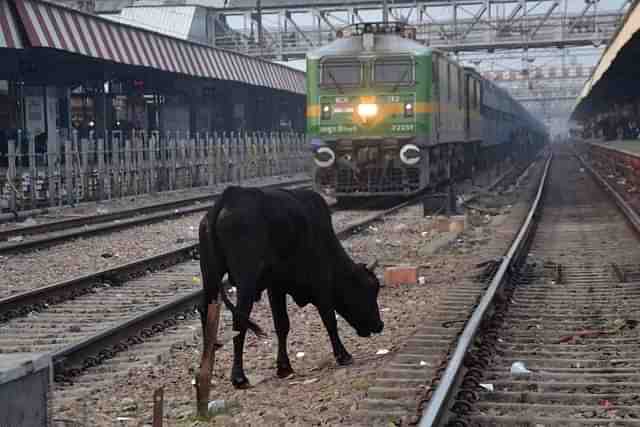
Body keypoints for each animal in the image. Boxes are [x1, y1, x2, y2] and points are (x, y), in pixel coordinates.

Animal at [198, 186, 382, 388]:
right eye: (370, 290)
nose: (379, 325)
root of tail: (230, 195)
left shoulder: (275, 287)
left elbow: (282, 325)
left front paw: (284, 367)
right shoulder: (321, 283)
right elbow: (329, 320)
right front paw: (343, 355)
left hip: (210, 275)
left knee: (205, 311)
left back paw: (206, 368)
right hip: (246, 280)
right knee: (239, 320)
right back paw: (238, 376)